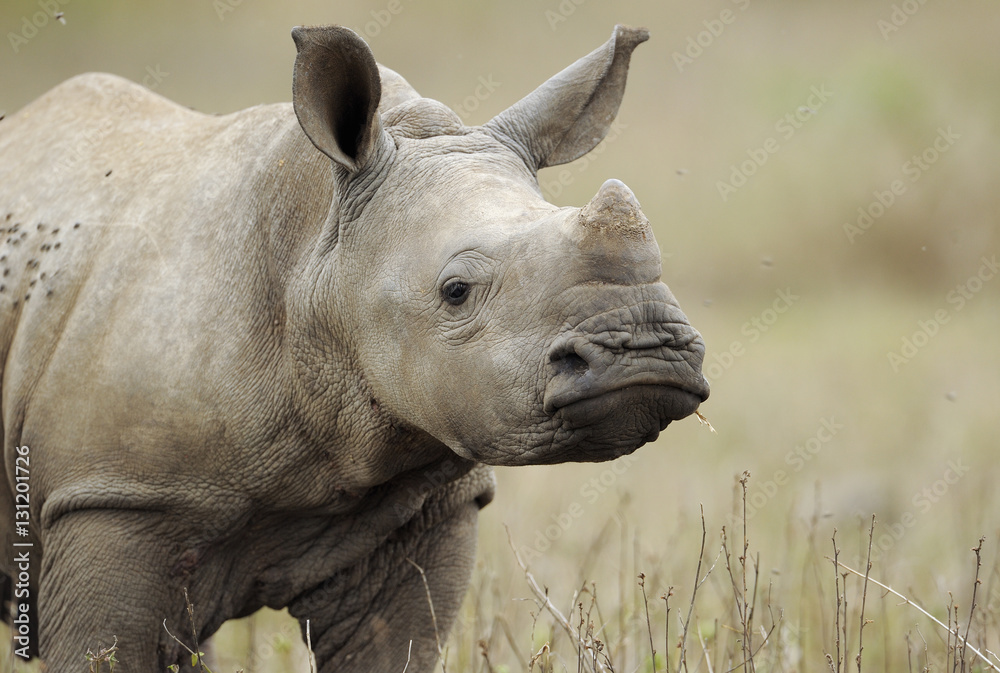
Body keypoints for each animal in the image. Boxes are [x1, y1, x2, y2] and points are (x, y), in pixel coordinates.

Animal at [0, 23, 708, 672]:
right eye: (456, 291)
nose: (646, 347)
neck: (317, 250)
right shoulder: (115, 494)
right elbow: (104, 647)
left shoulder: (425, 512)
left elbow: (395, 647)